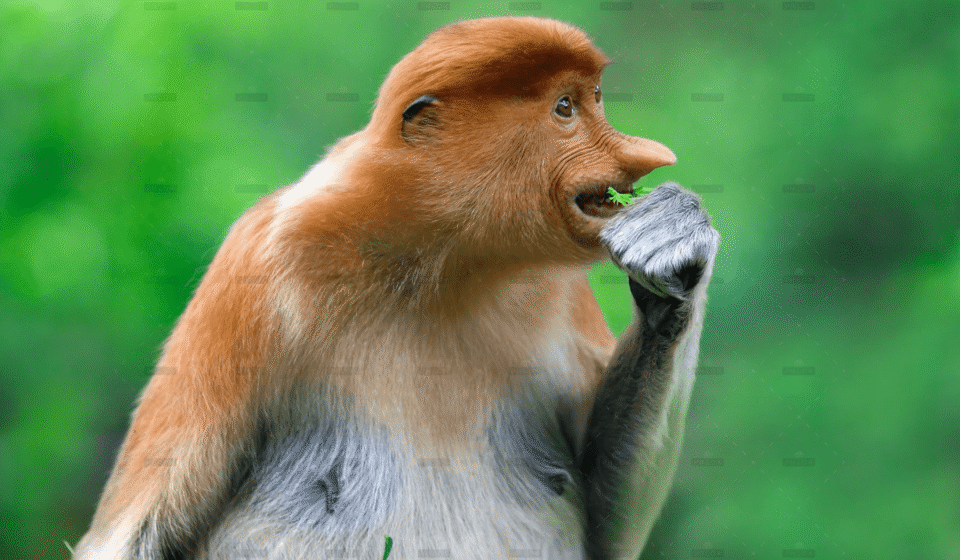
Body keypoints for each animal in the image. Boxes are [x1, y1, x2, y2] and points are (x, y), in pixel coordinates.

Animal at [74, 16, 718, 560]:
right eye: (565, 107)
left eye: (596, 99)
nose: (648, 156)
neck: (440, 262)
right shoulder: (256, 269)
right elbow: (134, 536)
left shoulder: (560, 288)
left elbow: (610, 521)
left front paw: (673, 246)